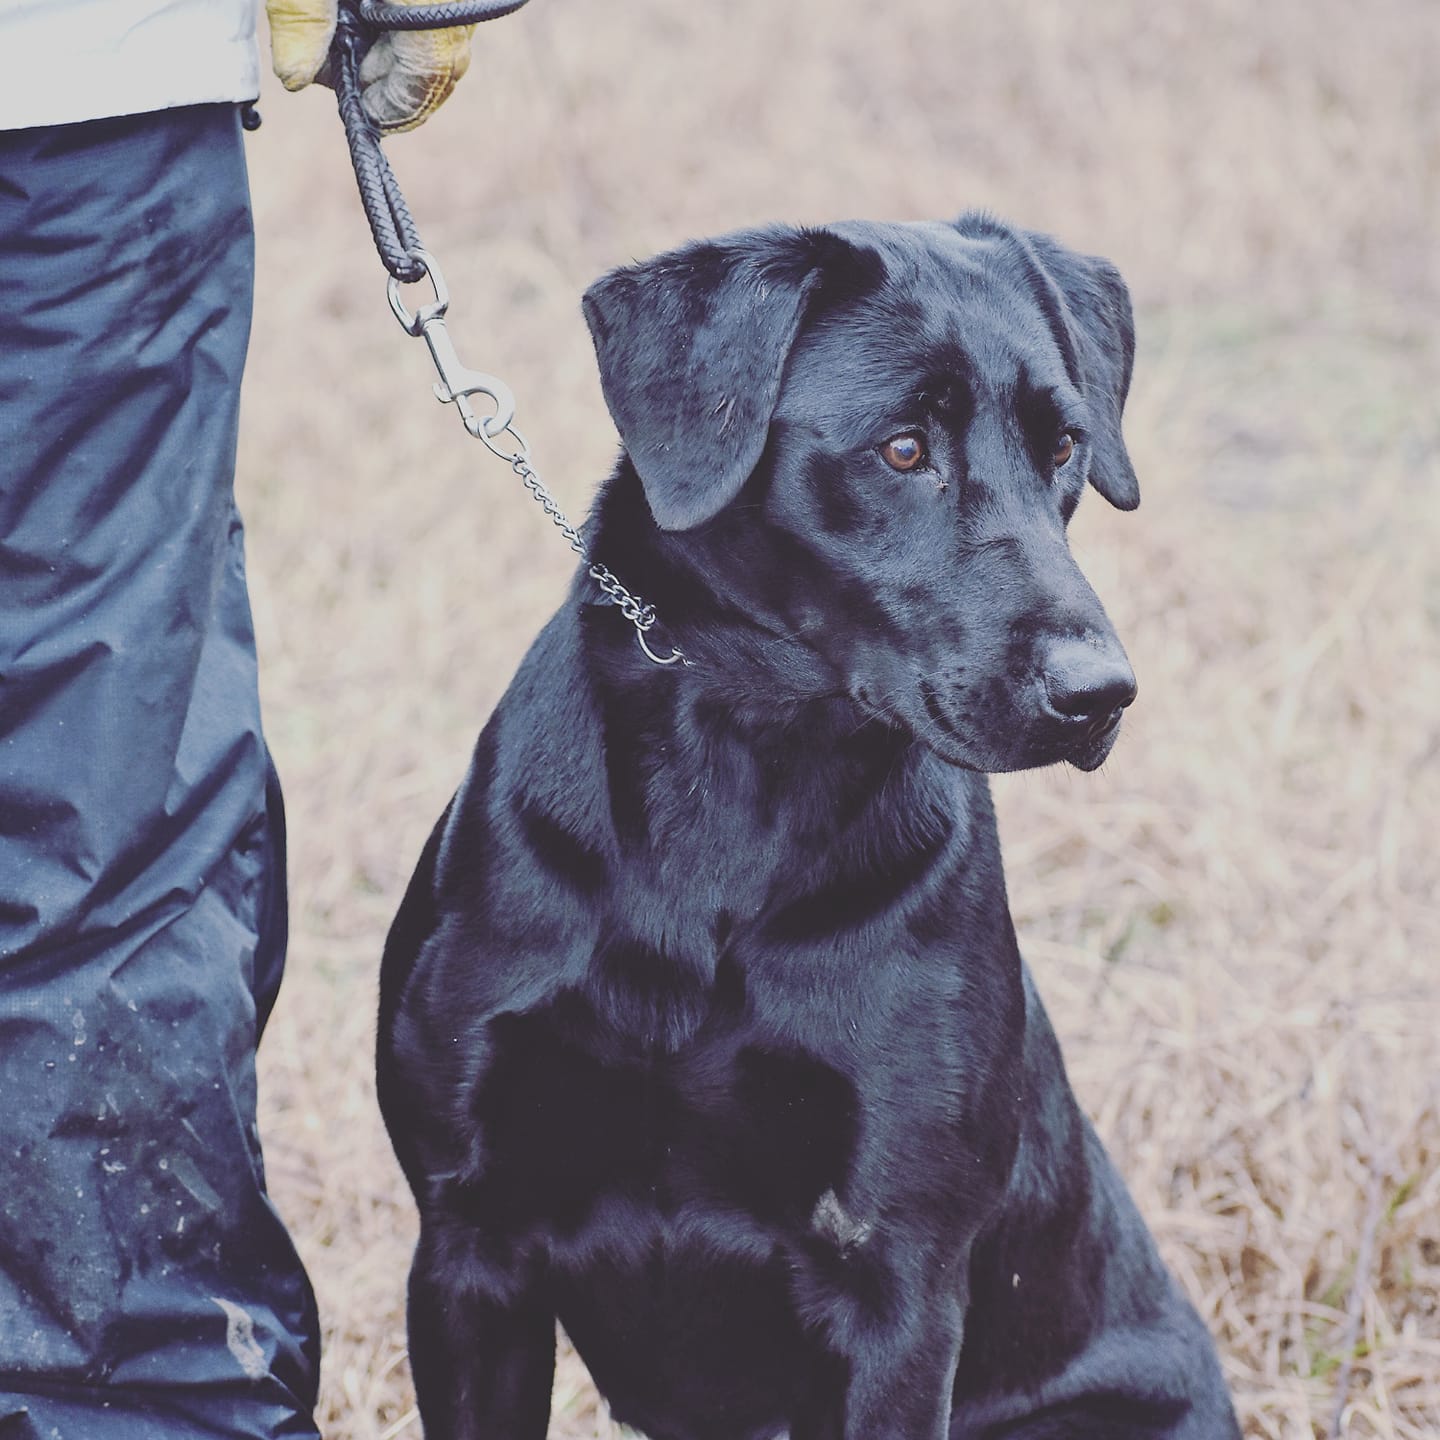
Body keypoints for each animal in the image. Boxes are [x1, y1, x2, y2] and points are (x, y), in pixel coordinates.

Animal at [377, 208, 1244, 1434]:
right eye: (902, 450)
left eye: (1066, 447)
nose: (1100, 695)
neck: (741, 781)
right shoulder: (468, 1242)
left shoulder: (897, 1285)